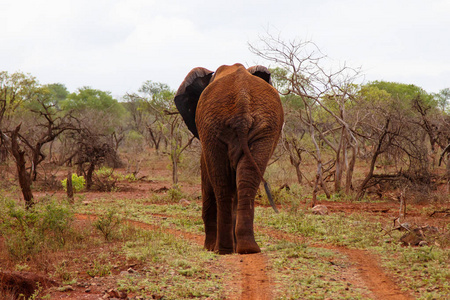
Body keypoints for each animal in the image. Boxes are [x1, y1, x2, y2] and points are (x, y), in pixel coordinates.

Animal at [174, 62, 284, 253]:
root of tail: (242, 99)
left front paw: (209, 248)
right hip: (264, 128)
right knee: (246, 179)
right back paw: (247, 248)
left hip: (213, 127)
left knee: (222, 183)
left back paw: (222, 249)